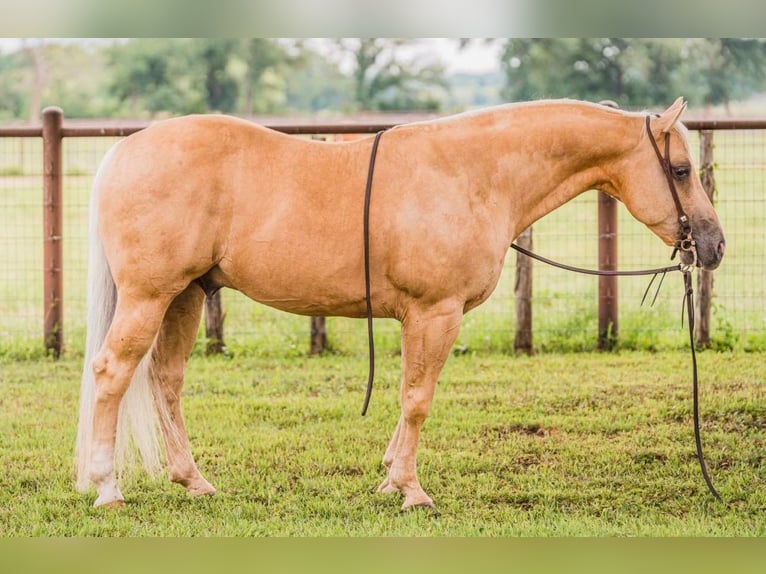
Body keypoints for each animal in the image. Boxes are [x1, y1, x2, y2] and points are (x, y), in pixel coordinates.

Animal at [76, 98, 728, 508]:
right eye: (680, 169)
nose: (715, 244)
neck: (471, 174)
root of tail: (124, 152)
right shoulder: (435, 313)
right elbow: (418, 399)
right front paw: (412, 490)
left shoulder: (420, 318)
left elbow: (407, 396)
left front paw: (391, 478)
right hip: (149, 297)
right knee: (112, 373)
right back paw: (107, 488)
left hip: (185, 296)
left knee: (165, 380)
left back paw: (193, 481)